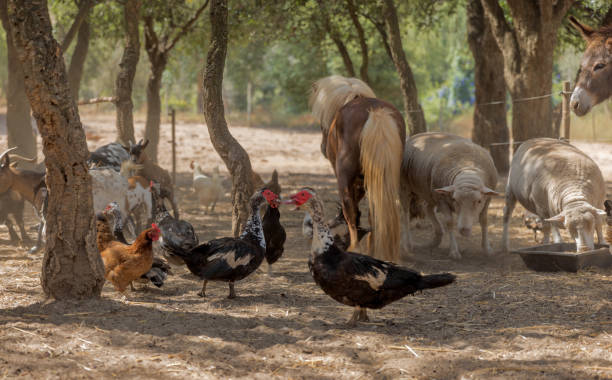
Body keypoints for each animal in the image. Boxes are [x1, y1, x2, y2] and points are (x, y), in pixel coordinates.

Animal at [310, 75, 406, 262]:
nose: (323, 147)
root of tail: (375, 112)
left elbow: (352, 208)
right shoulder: (364, 180)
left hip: (345, 178)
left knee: (351, 211)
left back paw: (355, 248)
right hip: (384, 177)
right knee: (375, 212)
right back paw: (374, 247)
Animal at [402, 132, 498, 260]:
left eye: (478, 201)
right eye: (454, 200)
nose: (464, 230)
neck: (468, 168)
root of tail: (415, 136)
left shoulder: (487, 200)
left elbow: (484, 220)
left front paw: (487, 249)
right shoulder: (442, 200)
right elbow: (449, 222)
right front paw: (454, 251)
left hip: (430, 192)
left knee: (428, 208)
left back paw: (436, 239)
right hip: (405, 187)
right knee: (405, 214)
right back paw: (408, 245)